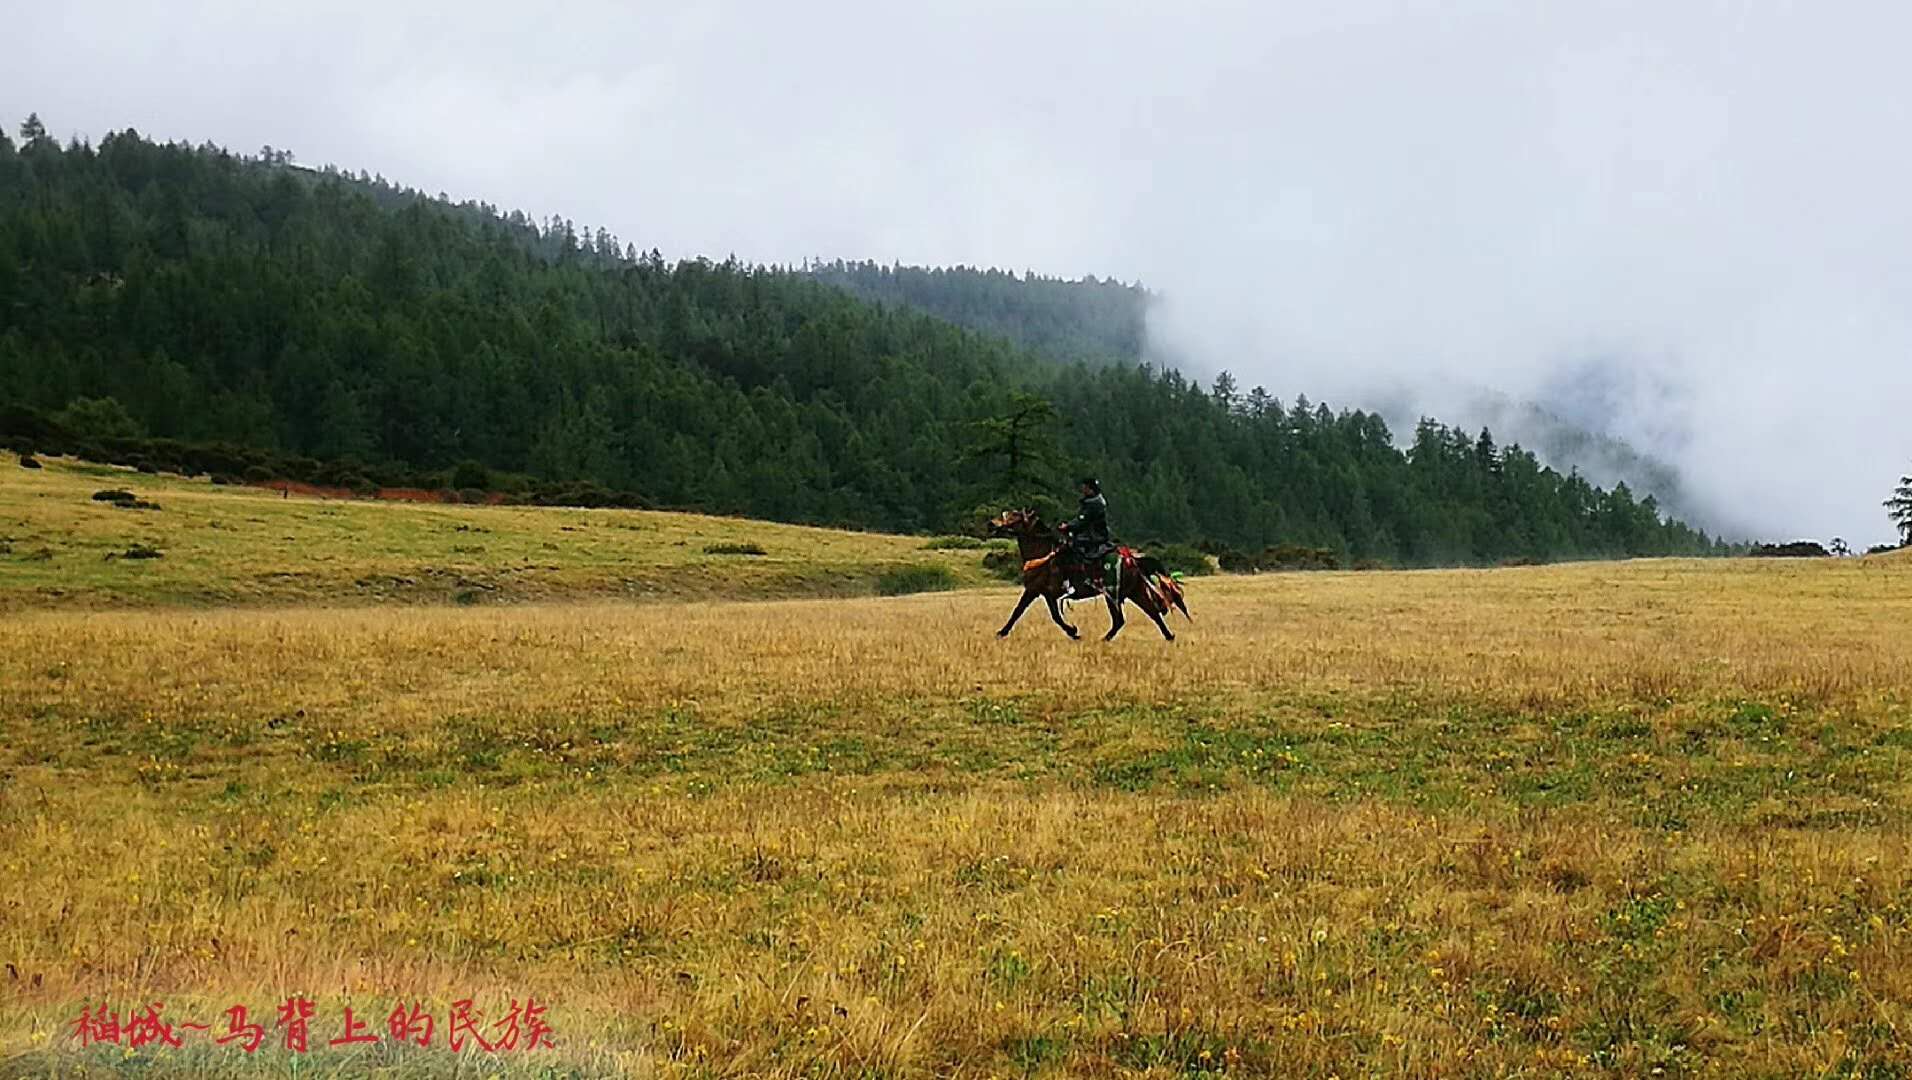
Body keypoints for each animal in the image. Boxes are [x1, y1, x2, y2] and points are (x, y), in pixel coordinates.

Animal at [987, 509, 1191, 641]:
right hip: (1135, 592)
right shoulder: (1046, 594)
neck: (1042, 554)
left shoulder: (1035, 590)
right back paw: (1169, 636)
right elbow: (1051, 615)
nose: (991, 524)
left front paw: (1001, 632)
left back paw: (1104, 639)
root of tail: (1132, 559)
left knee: (1121, 620)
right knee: (1152, 613)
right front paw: (1073, 631)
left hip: (1113, 595)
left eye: (1014, 516)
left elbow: (1021, 612)